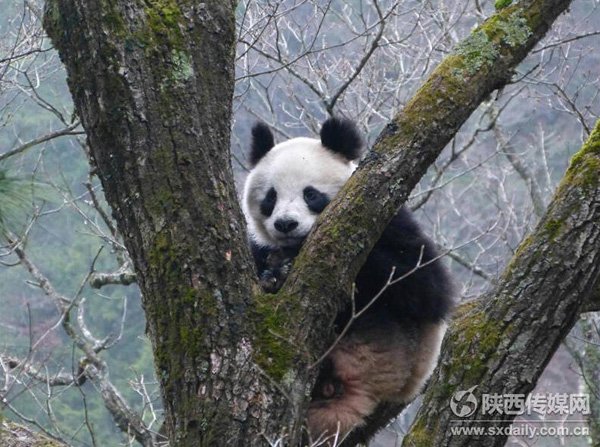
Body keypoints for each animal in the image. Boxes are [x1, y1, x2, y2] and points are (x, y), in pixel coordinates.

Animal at [241, 116, 452, 440]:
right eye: (270, 198)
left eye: (310, 194)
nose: (286, 224)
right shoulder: (259, 245)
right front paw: (273, 274)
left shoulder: (390, 223)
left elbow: (427, 288)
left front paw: (287, 262)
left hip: (391, 351)